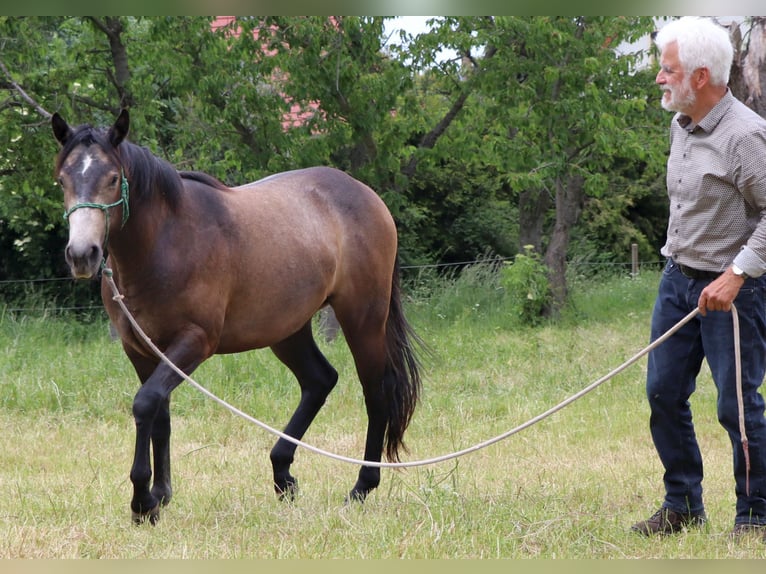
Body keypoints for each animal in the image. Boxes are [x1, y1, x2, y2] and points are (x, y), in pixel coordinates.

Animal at [52, 109, 426, 528]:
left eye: (113, 178)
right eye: (63, 179)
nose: (82, 254)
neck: (166, 241)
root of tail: (366, 195)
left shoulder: (195, 341)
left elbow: (146, 403)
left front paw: (142, 501)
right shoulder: (141, 350)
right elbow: (159, 414)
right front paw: (160, 495)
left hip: (363, 318)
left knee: (376, 393)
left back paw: (361, 487)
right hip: (288, 329)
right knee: (319, 380)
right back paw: (283, 474)